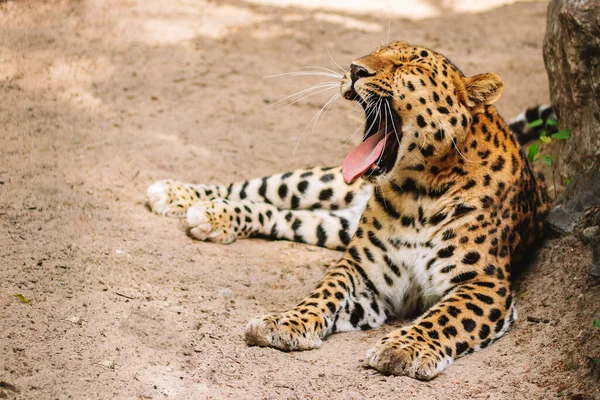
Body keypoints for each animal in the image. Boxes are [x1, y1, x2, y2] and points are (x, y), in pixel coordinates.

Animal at [148, 41, 552, 382]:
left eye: (410, 64)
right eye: (376, 51)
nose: (355, 69)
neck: (419, 193)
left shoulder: (485, 284)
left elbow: (445, 317)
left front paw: (403, 348)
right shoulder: (363, 270)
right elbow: (325, 290)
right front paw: (285, 321)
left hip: (336, 225)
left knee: (288, 216)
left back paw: (209, 214)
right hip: (323, 183)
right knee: (261, 188)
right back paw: (178, 195)